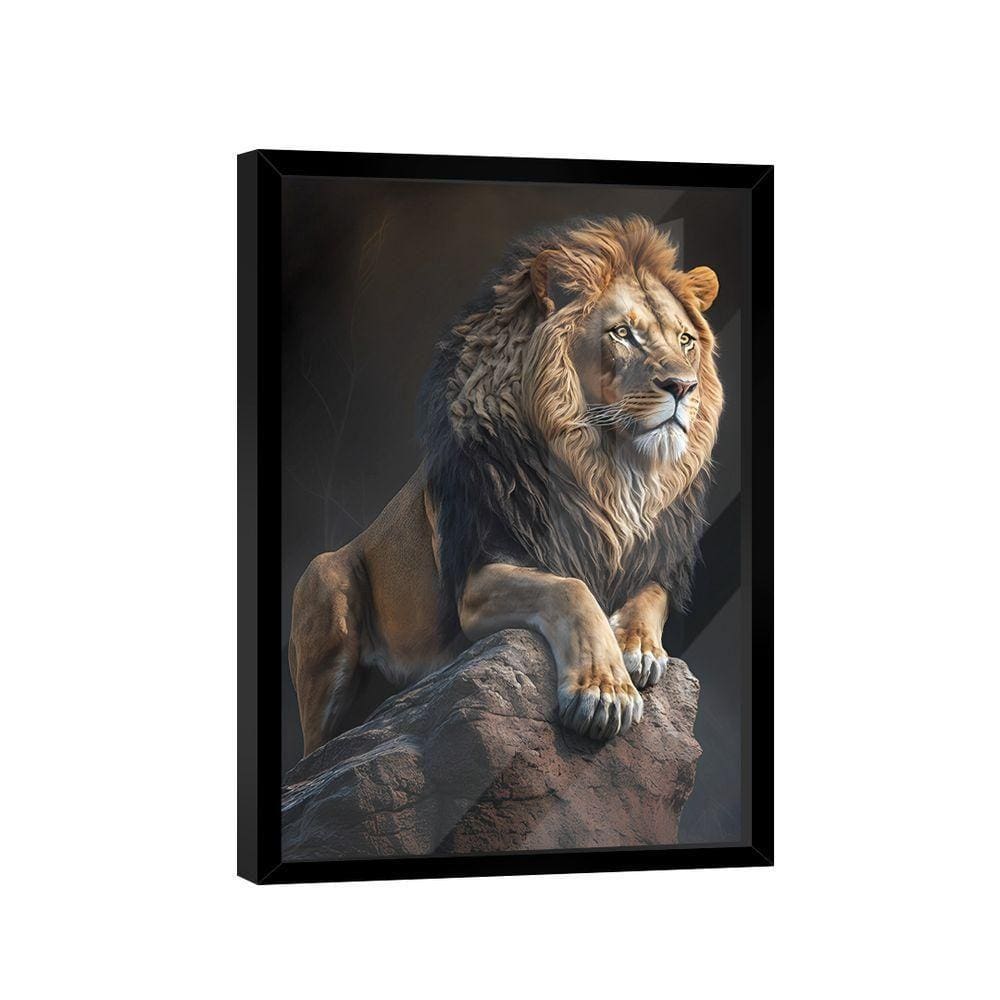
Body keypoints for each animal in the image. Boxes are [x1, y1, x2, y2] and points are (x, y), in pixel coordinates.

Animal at [289, 215, 723, 756]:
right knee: (314, 751)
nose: (684, 387)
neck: (611, 472)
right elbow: (571, 589)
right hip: (323, 581)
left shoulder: (657, 557)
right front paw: (605, 691)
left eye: (685, 340)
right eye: (622, 333)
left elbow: (649, 597)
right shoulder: (477, 577)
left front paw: (638, 647)